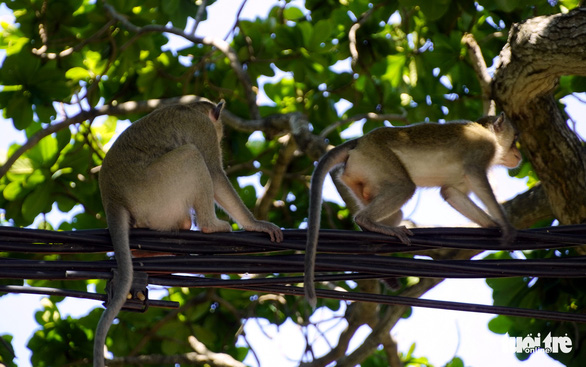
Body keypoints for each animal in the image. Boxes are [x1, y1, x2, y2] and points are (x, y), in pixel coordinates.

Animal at [94, 99, 282, 366]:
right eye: (219, 131)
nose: (221, 135)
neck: (192, 107)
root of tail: (113, 199)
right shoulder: (202, 128)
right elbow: (215, 173)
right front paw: (256, 223)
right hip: (155, 189)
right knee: (191, 155)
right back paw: (210, 225)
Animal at [304, 113, 516, 308]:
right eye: (514, 141)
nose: (518, 155)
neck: (486, 132)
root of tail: (360, 141)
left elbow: (451, 193)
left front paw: (492, 224)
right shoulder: (484, 148)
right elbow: (474, 173)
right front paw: (506, 227)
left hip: (360, 179)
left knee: (396, 210)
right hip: (377, 158)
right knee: (404, 187)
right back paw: (367, 221)